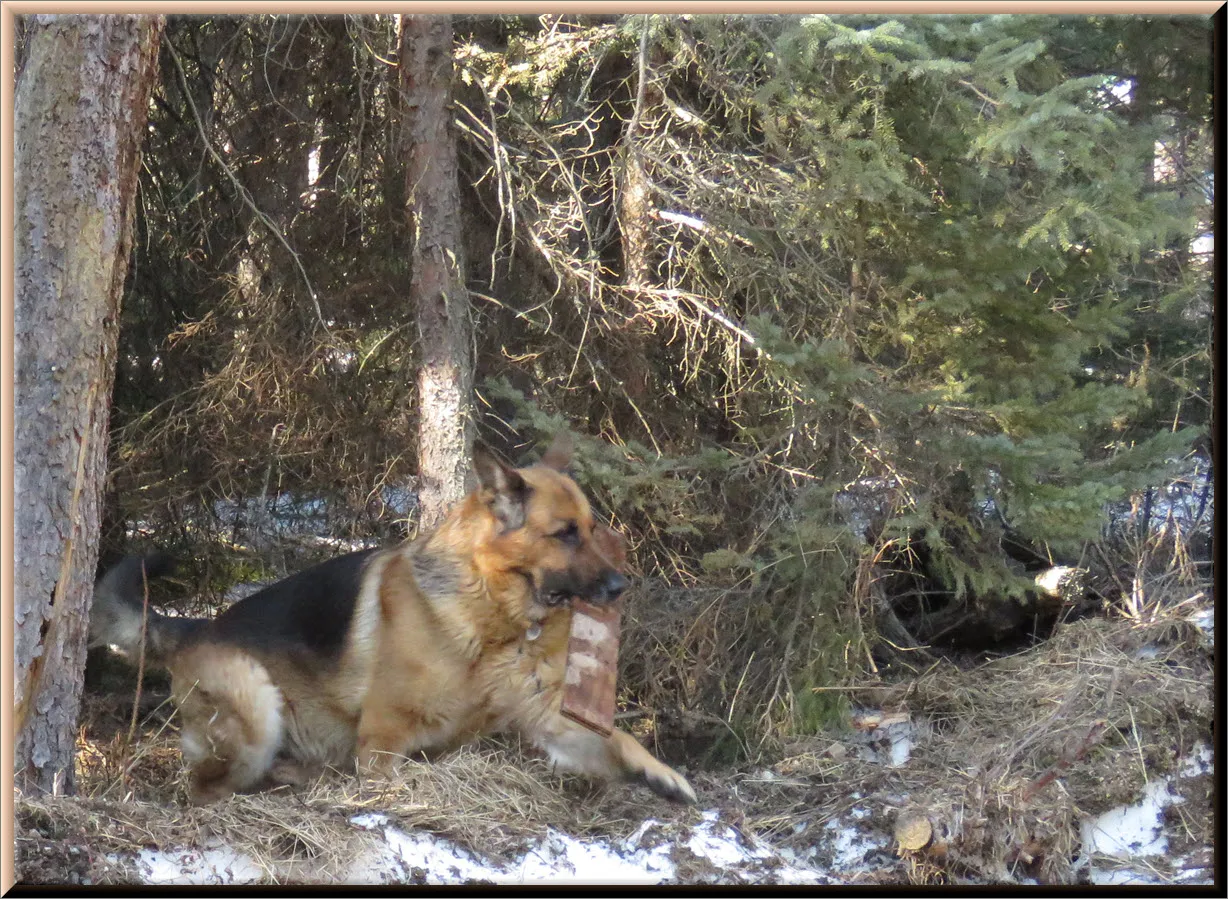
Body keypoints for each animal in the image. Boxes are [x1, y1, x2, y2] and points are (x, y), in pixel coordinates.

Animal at [90, 437, 697, 805]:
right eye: (564, 534)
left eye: (591, 531)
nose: (621, 588)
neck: (492, 611)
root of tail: (198, 626)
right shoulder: (382, 739)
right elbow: (393, 773)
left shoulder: (548, 720)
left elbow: (617, 738)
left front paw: (663, 774)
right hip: (256, 707)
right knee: (205, 787)